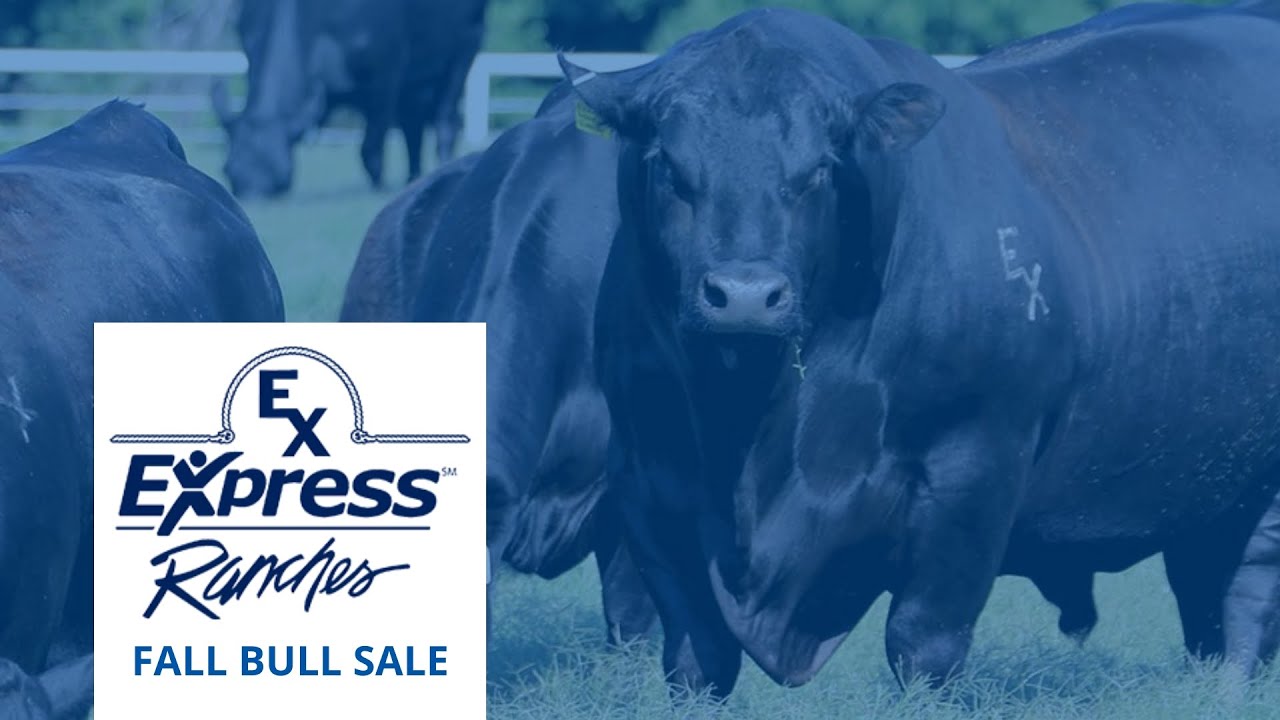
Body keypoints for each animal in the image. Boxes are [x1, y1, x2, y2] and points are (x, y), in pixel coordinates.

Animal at [212, 0, 487, 198]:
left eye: (283, 175)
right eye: (227, 170)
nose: (252, 193)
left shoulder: (387, 75)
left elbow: (371, 149)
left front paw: (378, 188)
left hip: (466, 46)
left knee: (445, 121)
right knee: (413, 123)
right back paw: (414, 177)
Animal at [559, 1, 1280, 698]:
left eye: (819, 169)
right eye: (667, 163)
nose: (743, 295)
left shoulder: (975, 465)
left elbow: (923, 642)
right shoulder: (650, 480)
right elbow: (695, 656)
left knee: (1244, 593)